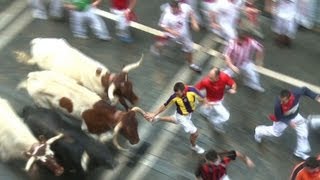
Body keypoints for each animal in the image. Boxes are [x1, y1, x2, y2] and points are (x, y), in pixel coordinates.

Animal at [18, 71, 146, 150]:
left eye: (136, 124)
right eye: (126, 129)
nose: (137, 140)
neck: (104, 113)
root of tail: (33, 75)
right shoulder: (87, 128)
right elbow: (101, 138)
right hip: (43, 104)